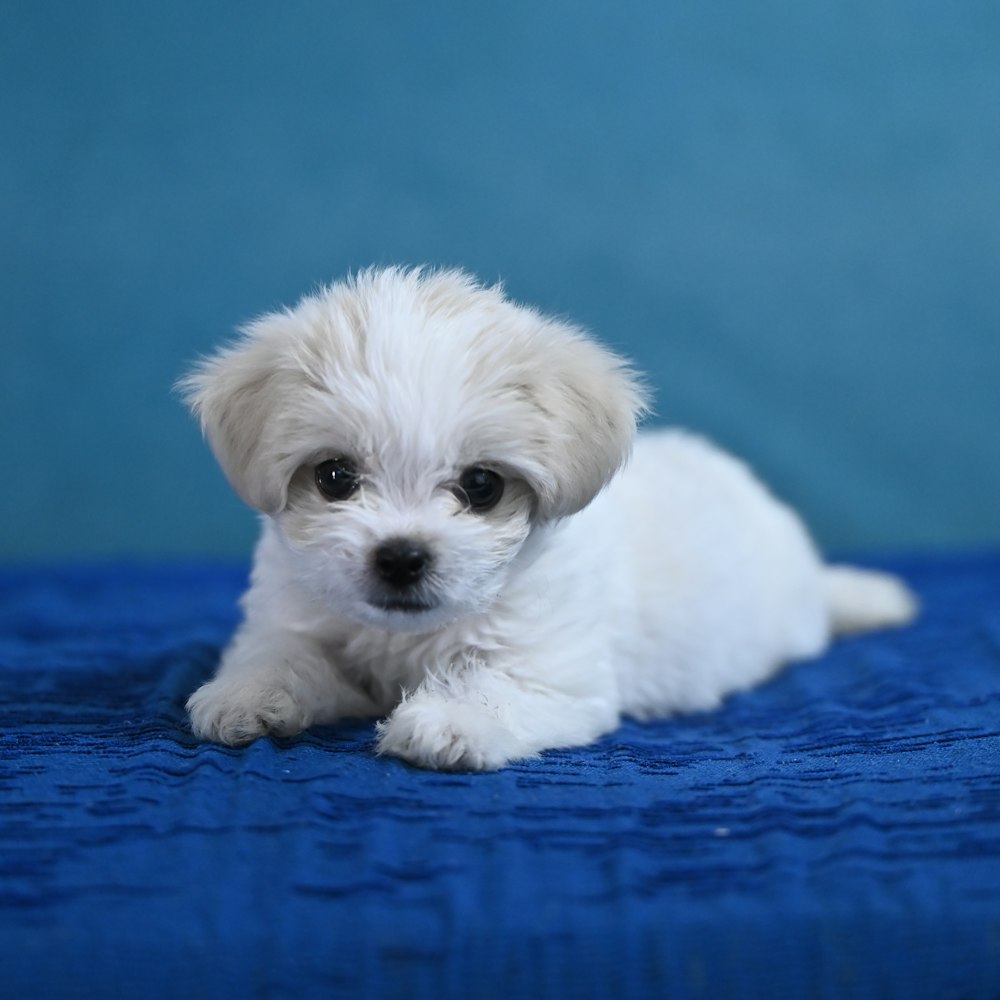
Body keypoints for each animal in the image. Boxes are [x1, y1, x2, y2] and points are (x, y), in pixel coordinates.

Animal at [184, 262, 916, 768]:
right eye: (335, 477)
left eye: (481, 486)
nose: (400, 555)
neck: (406, 638)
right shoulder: (299, 614)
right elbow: (282, 652)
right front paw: (244, 695)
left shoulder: (551, 669)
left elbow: (495, 687)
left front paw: (447, 724)